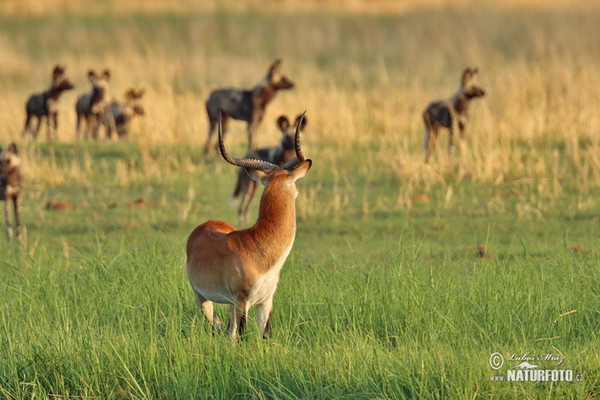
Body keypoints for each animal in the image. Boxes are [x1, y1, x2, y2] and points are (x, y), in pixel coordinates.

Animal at [185, 111, 312, 340]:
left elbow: (266, 336)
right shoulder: (242, 300)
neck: (259, 245)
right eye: (295, 186)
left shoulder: (265, 301)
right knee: (218, 329)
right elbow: (244, 337)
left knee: (228, 332)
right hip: (203, 299)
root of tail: (206, 224)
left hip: (228, 305)